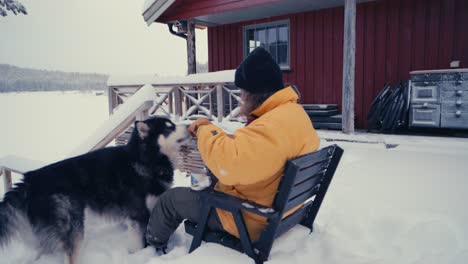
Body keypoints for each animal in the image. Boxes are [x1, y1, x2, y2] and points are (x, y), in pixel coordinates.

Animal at [0, 116, 190, 262]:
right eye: (169, 127)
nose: (189, 127)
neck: (145, 159)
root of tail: (30, 179)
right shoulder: (139, 216)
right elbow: (141, 243)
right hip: (73, 229)